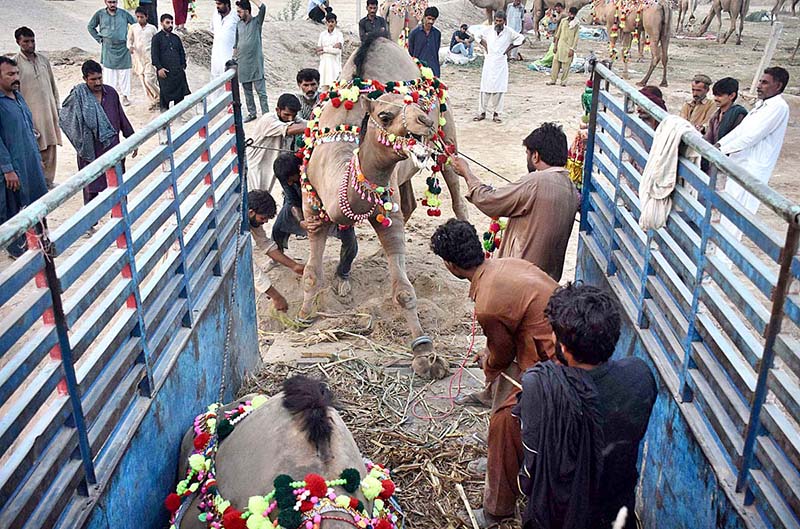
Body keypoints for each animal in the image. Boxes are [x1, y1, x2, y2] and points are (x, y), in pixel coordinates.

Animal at [294, 34, 468, 380]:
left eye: (414, 104)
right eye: (385, 116)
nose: (425, 120)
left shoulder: (388, 213)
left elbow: (404, 291)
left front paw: (425, 353)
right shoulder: (313, 208)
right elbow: (310, 273)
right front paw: (304, 316)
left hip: (449, 135)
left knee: (456, 191)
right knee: (411, 200)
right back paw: (375, 254)